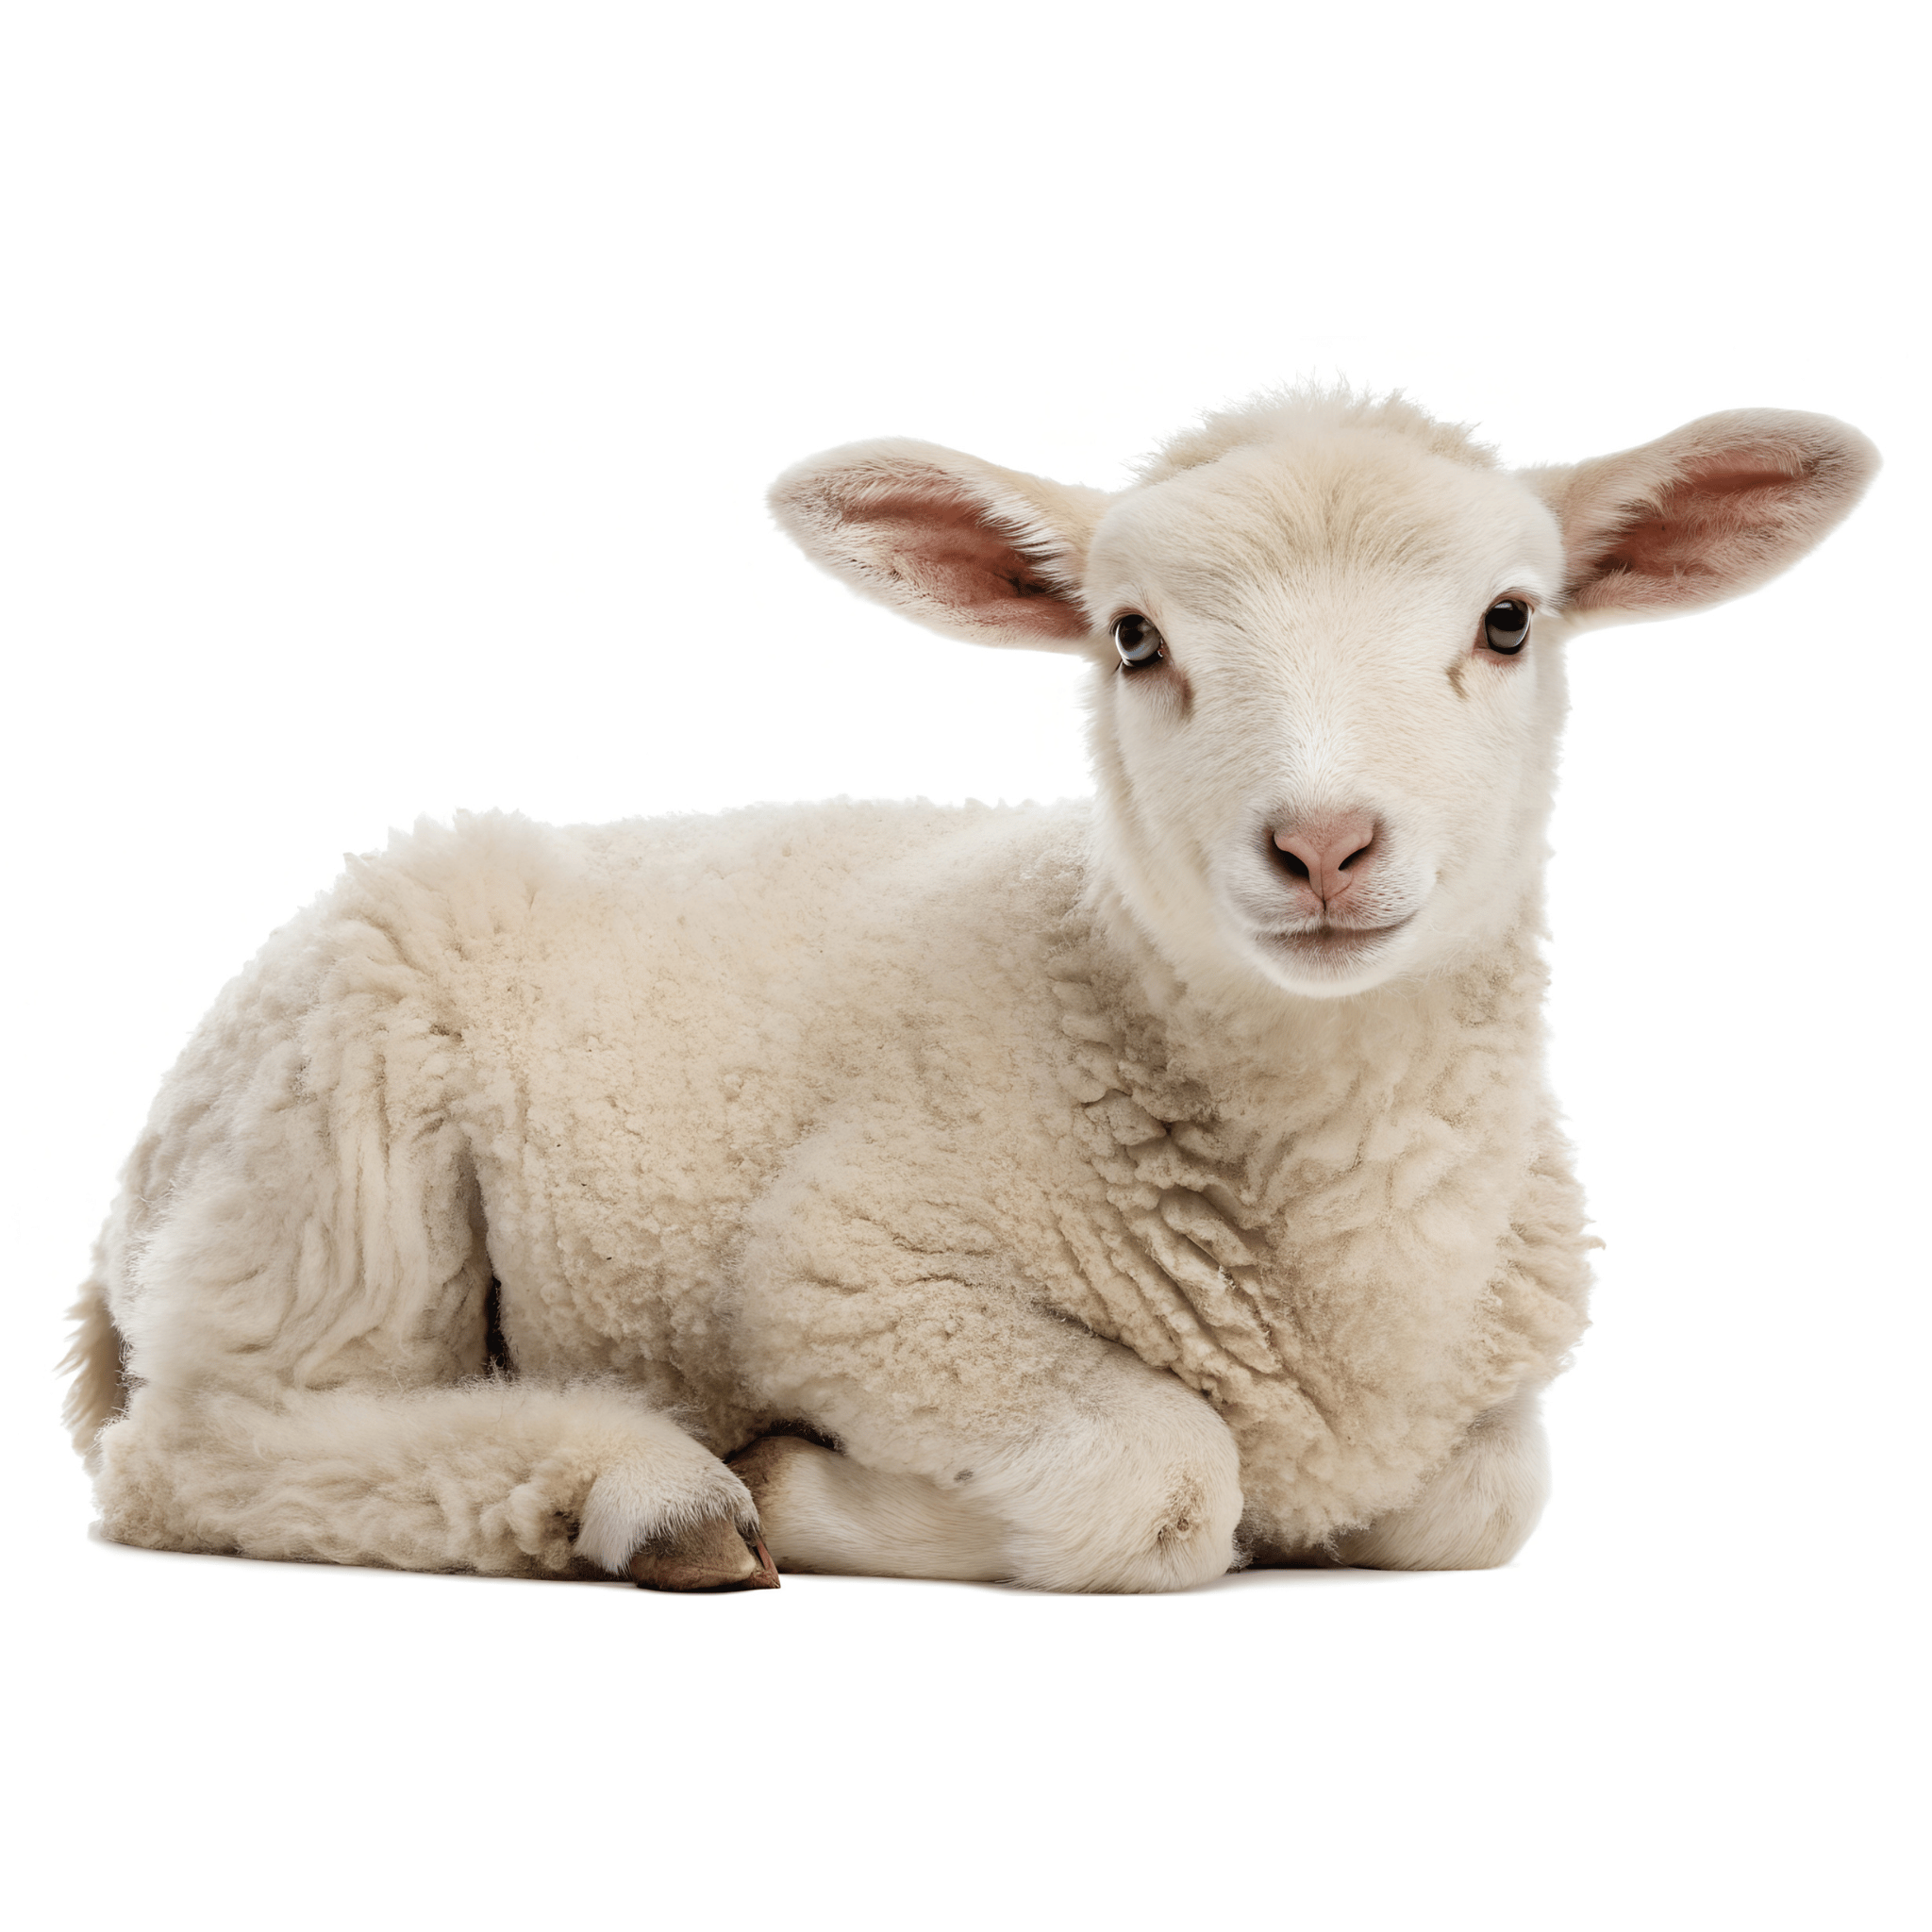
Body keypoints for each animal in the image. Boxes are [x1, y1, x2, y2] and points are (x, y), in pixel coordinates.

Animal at [62, 386, 1878, 1593]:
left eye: (1509, 622)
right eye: (1133, 638)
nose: (1323, 843)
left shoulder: (1490, 1392)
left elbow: (1478, 1501)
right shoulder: (852, 1279)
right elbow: (1162, 1477)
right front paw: (799, 1481)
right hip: (340, 1157)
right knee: (201, 1447)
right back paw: (646, 1491)